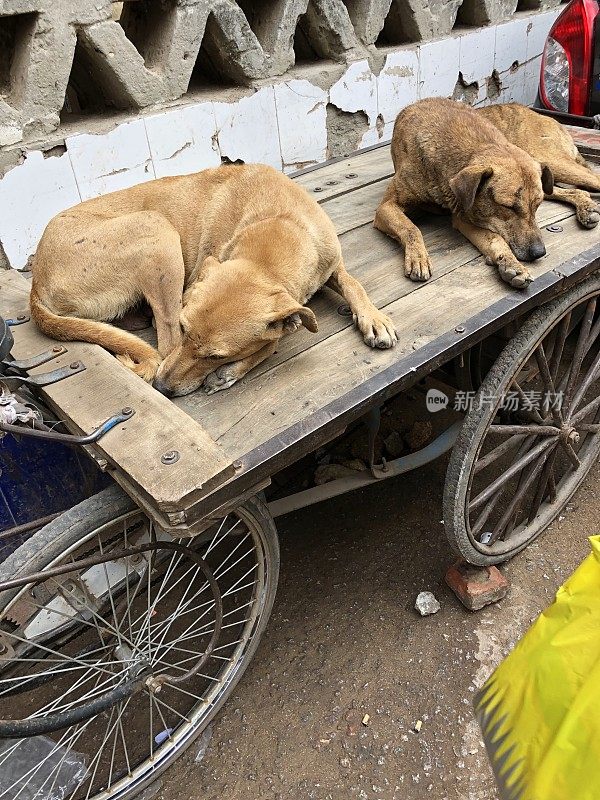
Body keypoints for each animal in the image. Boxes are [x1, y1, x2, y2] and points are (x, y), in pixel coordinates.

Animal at [31, 163, 398, 396]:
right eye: (185, 329)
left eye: (215, 356)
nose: (162, 388)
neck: (280, 221)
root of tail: (36, 286)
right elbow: (273, 341)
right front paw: (237, 368)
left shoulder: (330, 264)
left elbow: (352, 283)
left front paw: (374, 318)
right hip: (156, 228)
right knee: (164, 344)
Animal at [376, 98, 552, 290]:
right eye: (508, 207)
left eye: (538, 205)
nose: (539, 252)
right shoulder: (386, 207)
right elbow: (410, 228)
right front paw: (418, 257)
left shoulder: (465, 214)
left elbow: (495, 238)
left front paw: (511, 263)